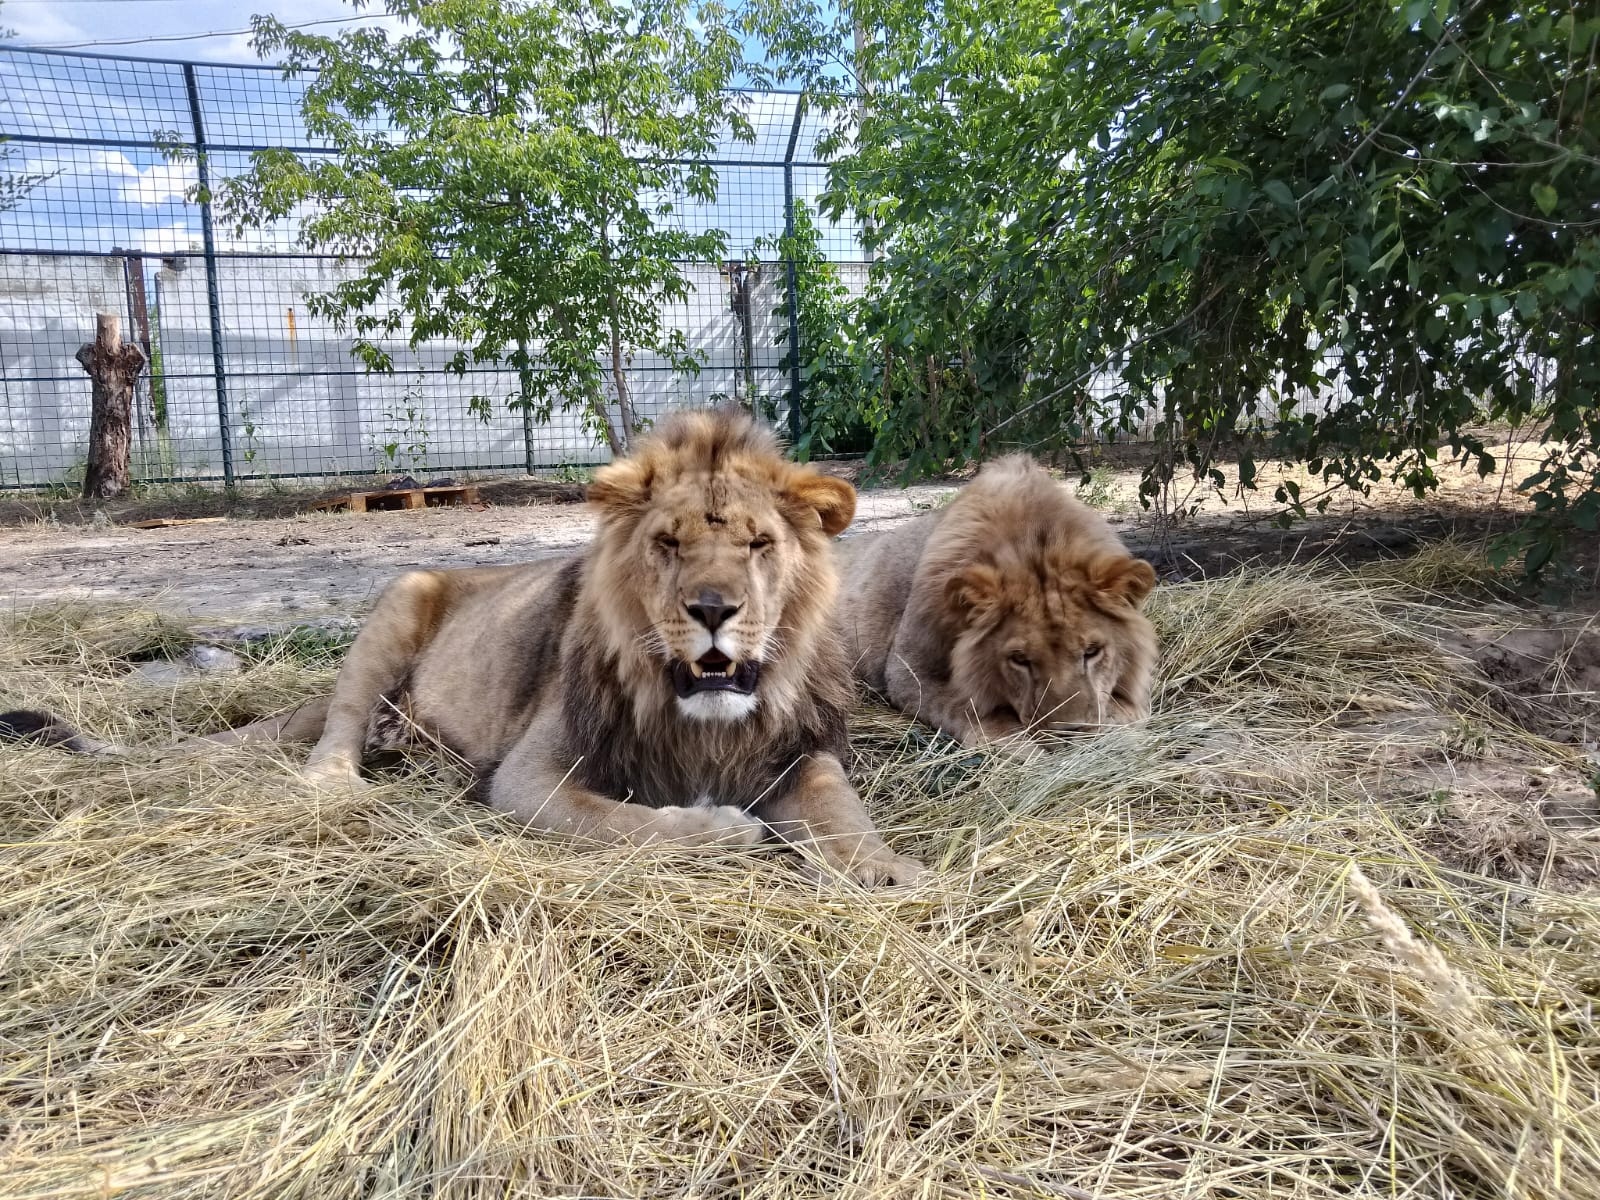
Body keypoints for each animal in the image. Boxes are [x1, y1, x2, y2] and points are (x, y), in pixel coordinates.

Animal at [3, 412, 928, 896]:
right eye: (667, 544)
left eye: (759, 544)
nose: (711, 610)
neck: (701, 715)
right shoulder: (531, 777)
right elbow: (627, 824)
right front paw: (719, 831)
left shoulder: (797, 753)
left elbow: (843, 811)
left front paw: (889, 871)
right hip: (403, 594)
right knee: (336, 728)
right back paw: (344, 777)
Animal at [832, 454, 1158, 755]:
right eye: (1019, 659)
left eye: (1092, 651)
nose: (1068, 735)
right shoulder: (906, 672)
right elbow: (967, 709)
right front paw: (1023, 747)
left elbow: (1134, 711)